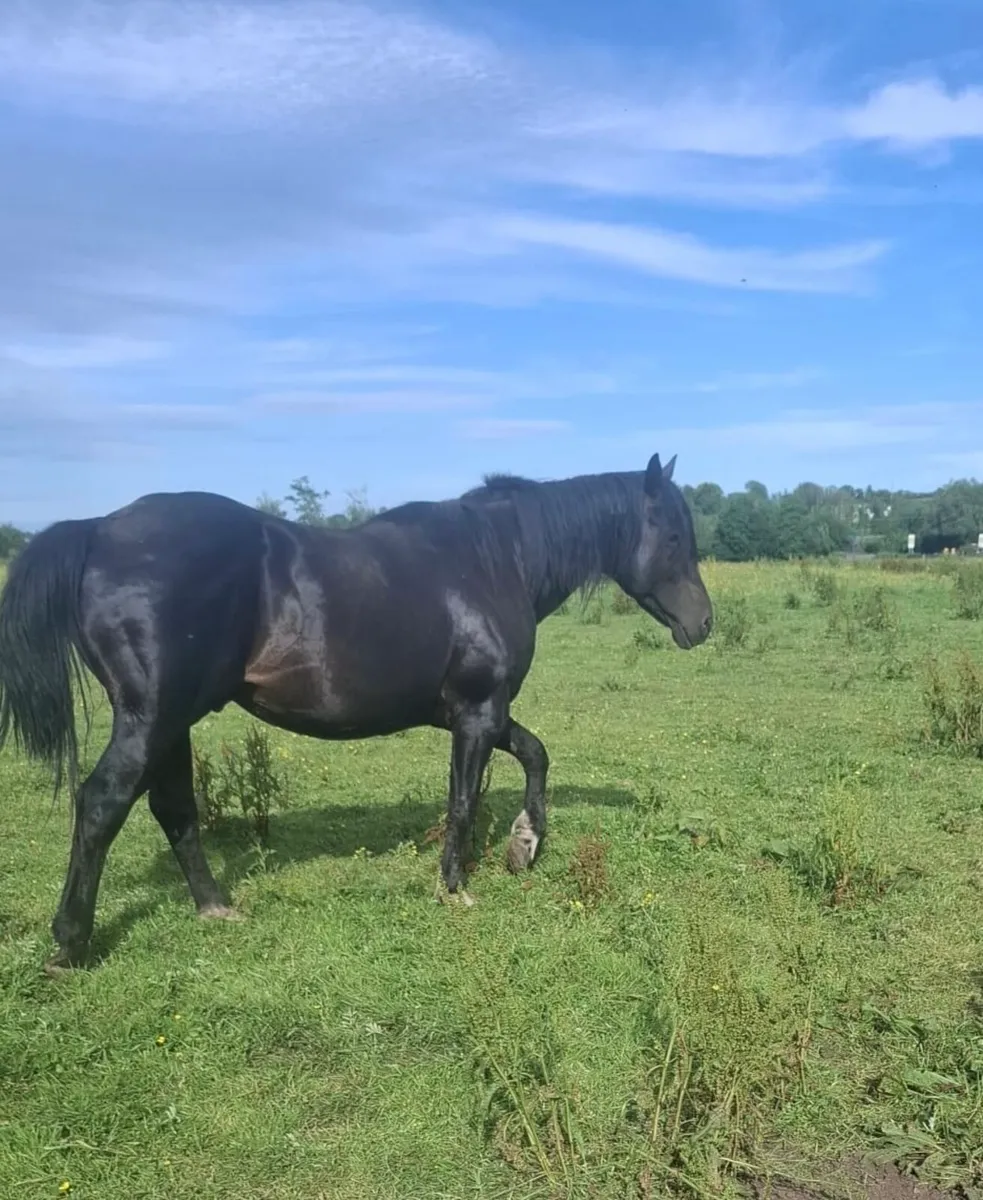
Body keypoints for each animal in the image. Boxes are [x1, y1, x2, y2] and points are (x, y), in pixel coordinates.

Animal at [0, 452, 712, 975]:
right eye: (674, 536)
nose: (704, 624)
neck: (494, 558)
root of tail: (96, 530)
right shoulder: (478, 712)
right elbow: (462, 801)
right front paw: (456, 884)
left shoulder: (474, 713)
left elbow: (535, 753)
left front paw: (524, 843)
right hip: (150, 718)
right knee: (102, 803)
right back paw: (70, 943)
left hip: (170, 723)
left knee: (173, 809)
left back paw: (215, 907)